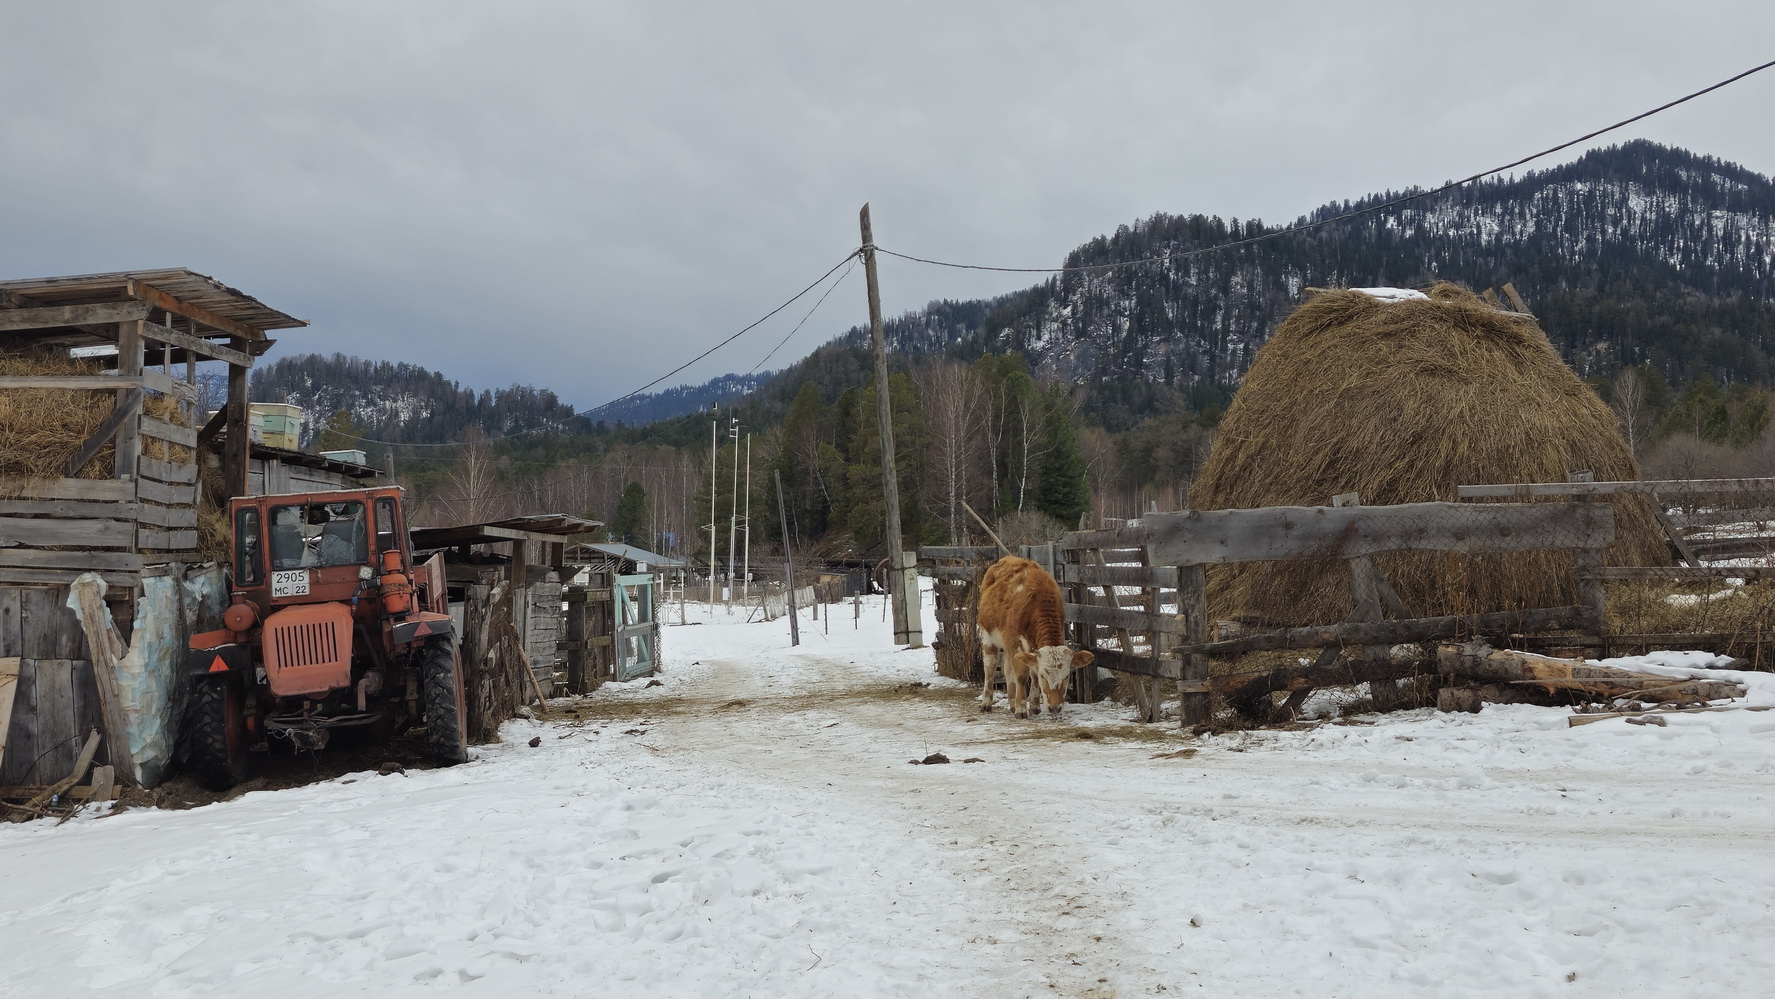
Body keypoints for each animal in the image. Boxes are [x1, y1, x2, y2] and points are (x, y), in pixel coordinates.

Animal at [972, 553, 1093, 720]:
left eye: (1067, 677)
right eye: (1044, 676)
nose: (1055, 708)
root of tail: (1006, 558)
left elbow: (1032, 673)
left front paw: (1034, 705)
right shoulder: (1013, 640)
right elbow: (1022, 675)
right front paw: (1021, 708)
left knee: (1006, 668)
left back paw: (1011, 702)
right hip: (988, 634)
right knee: (990, 667)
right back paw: (986, 702)